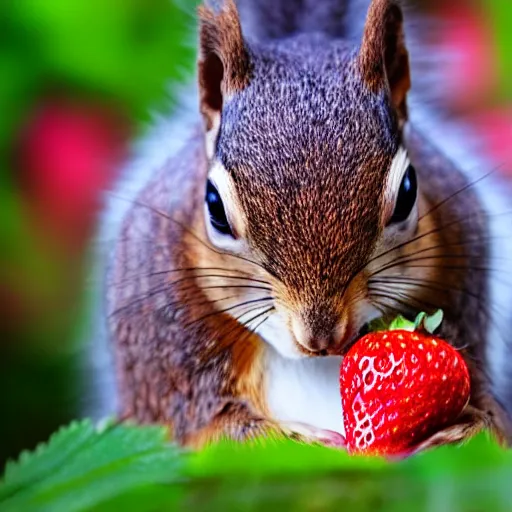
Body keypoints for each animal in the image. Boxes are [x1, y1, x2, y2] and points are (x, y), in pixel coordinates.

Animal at [90, 0, 512, 450]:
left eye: (408, 192)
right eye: (214, 207)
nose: (321, 337)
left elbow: (493, 425)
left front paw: (461, 427)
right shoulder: (168, 364)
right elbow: (213, 431)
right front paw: (299, 435)